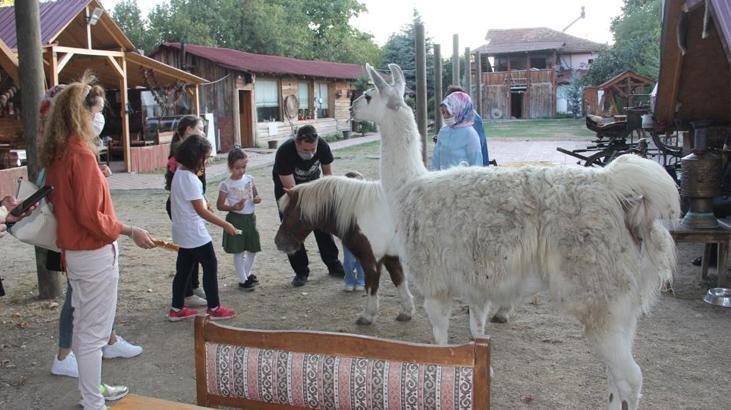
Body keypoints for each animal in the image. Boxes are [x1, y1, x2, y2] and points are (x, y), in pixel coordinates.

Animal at [274, 176, 414, 324]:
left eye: (288, 214)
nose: (278, 242)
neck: (365, 212)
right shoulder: (390, 256)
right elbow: (398, 279)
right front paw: (406, 311)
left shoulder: (372, 260)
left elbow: (371, 285)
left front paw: (367, 315)